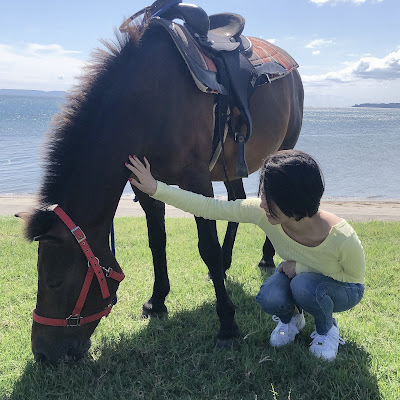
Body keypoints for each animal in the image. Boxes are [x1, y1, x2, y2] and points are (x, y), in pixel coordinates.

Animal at [17, 17, 302, 360]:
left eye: (54, 282)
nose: (42, 354)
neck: (148, 103)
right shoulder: (144, 185)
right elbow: (157, 241)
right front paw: (158, 301)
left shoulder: (197, 182)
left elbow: (206, 247)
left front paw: (227, 325)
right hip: (231, 166)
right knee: (238, 199)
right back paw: (226, 263)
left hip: (281, 151)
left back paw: (266, 256)